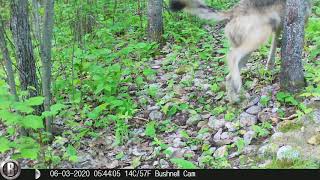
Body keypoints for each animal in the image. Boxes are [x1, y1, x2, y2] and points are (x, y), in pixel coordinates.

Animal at [169, 0, 312, 102]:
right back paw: (239, 86)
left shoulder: (277, 29)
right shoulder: (301, 24)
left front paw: (269, 68)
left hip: (248, 52)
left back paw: (235, 99)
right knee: (231, 56)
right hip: (259, 38)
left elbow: (272, 51)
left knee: (228, 76)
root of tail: (233, 12)